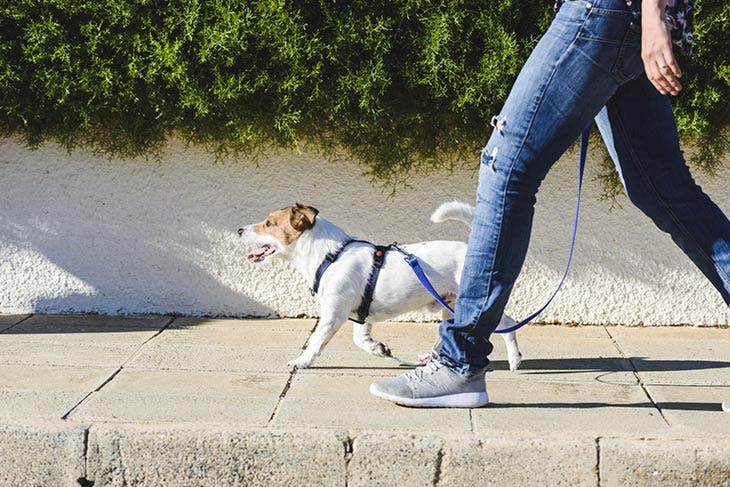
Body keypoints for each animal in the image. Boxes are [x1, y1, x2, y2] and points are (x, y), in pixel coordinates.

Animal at [242, 200, 520, 372]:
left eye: (269, 223)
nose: (239, 230)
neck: (329, 256)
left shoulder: (333, 314)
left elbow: (315, 341)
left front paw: (302, 361)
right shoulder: (360, 315)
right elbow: (361, 340)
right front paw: (379, 349)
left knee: (508, 324)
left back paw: (515, 359)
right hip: (449, 305)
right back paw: (429, 358)